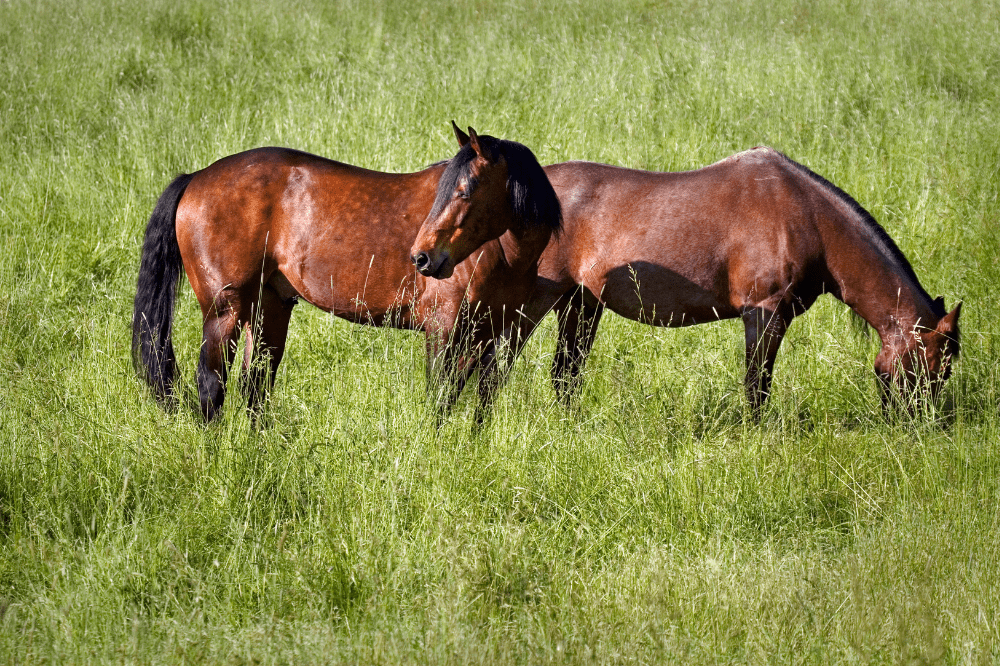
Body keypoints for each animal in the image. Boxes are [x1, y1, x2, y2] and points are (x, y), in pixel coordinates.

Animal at [132, 123, 561, 421]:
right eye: (445, 189)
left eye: (465, 192)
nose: (422, 258)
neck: (502, 253)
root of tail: (196, 178)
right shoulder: (444, 330)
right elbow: (440, 401)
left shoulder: (490, 335)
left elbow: (481, 406)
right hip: (225, 311)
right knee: (212, 387)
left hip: (267, 307)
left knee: (255, 387)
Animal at [413, 146, 961, 415]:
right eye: (934, 367)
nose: (926, 426)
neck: (805, 217)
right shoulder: (765, 315)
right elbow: (756, 389)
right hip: (535, 304)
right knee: (485, 368)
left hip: (580, 305)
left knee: (562, 377)